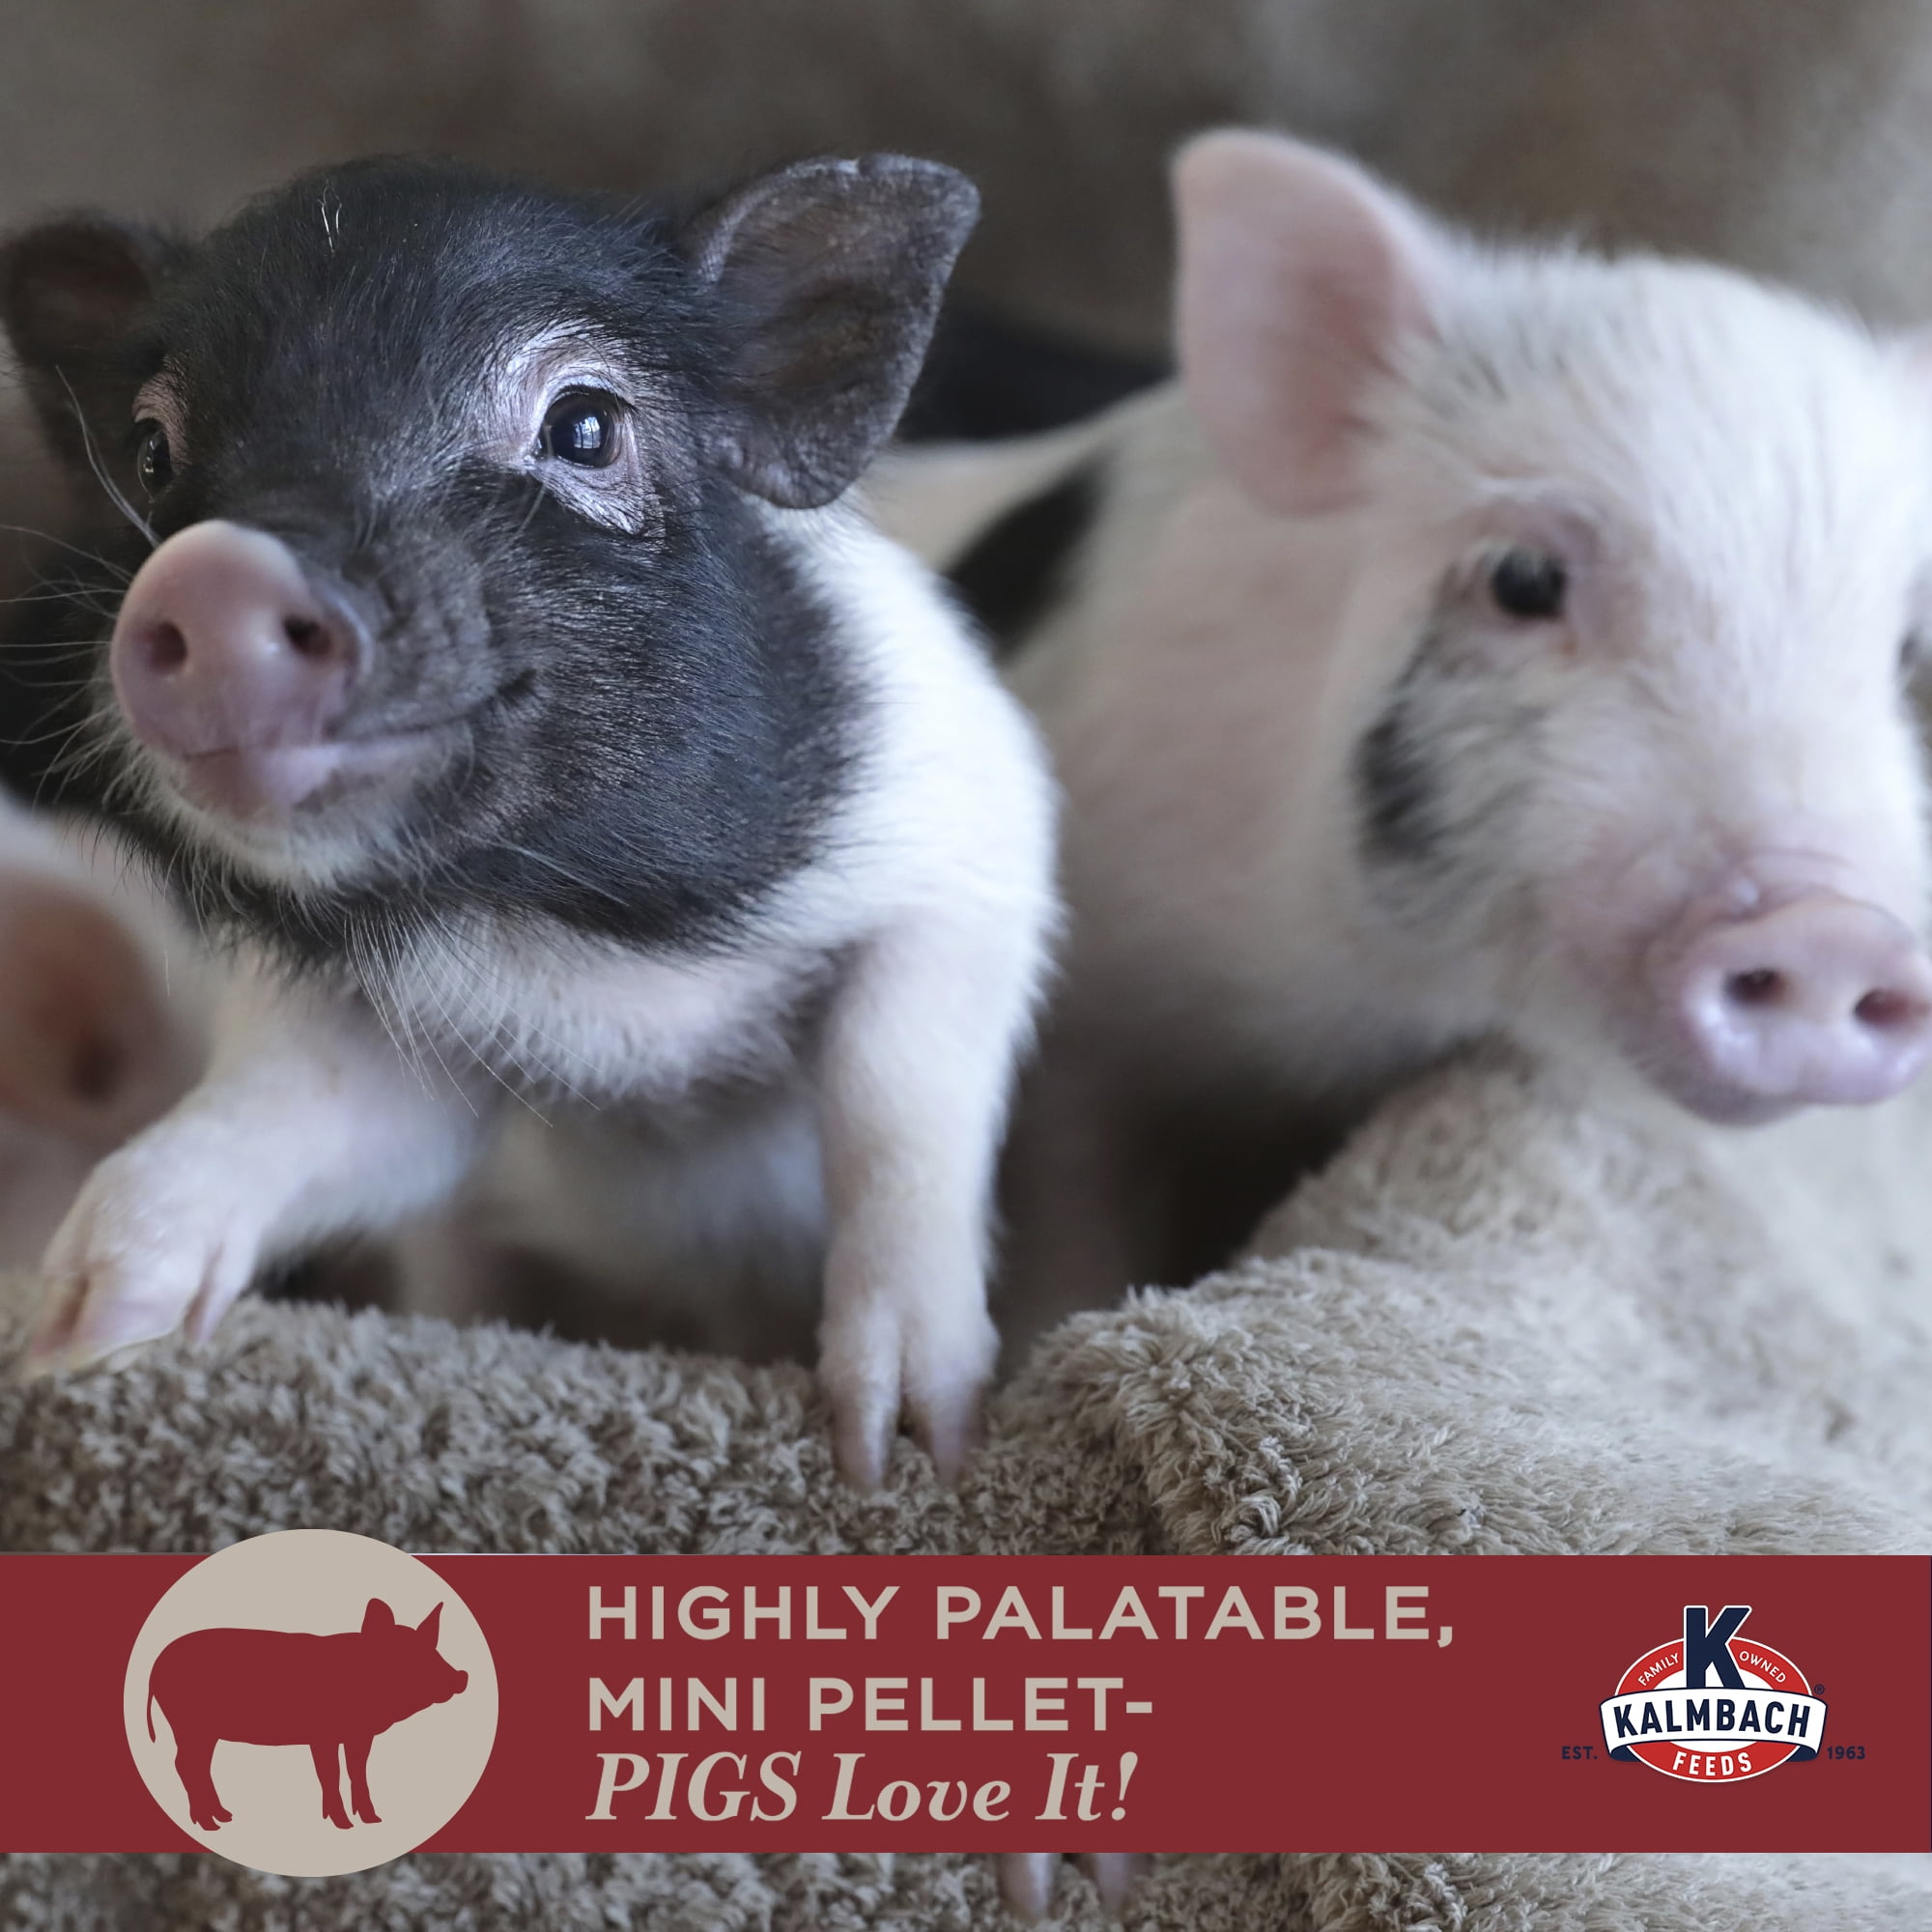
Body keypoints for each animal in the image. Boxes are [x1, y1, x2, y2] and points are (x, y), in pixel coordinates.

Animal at [0, 152, 1056, 1485]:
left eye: (585, 425)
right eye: (150, 451)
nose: (216, 569)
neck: (600, 971)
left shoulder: (968, 839)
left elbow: (897, 1107)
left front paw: (905, 1449)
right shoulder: (398, 1042)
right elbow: (298, 1117)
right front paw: (66, 1338)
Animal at [146, 1597, 467, 1832]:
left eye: (432, 1649)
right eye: (406, 1654)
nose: (461, 1676)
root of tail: (155, 1666)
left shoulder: (359, 1735)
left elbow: (357, 1771)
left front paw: (372, 1820)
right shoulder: (323, 1735)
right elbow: (331, 1774)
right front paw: (344, 1825)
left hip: (205, 1732)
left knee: (199, 1765)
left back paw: (225, 1817)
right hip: (188, 1724)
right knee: (184, 1764)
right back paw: (210, 1826)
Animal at [868, 127, 1932, 1345]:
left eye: (1902, 651)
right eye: (1522, 580)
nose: (1832, 929)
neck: (1337, 1005)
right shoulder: (1088, 1023)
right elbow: (1065, 1207)